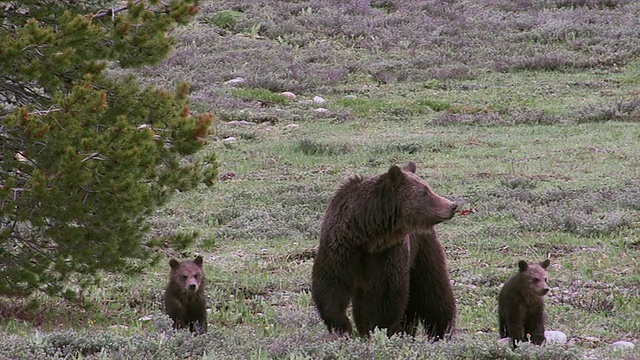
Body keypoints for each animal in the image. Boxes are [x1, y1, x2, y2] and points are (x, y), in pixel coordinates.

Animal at [312, 162, 458, 338]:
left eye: (428, 188)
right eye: (425, 192)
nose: (452, 205)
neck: (367, 235)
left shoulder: (388, 253)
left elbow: (385, 294)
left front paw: (376, 329)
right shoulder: (340, 248)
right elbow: (331, 283)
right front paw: (342, 326)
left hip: (423, 249)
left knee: (433, 290)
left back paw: (439, 331)